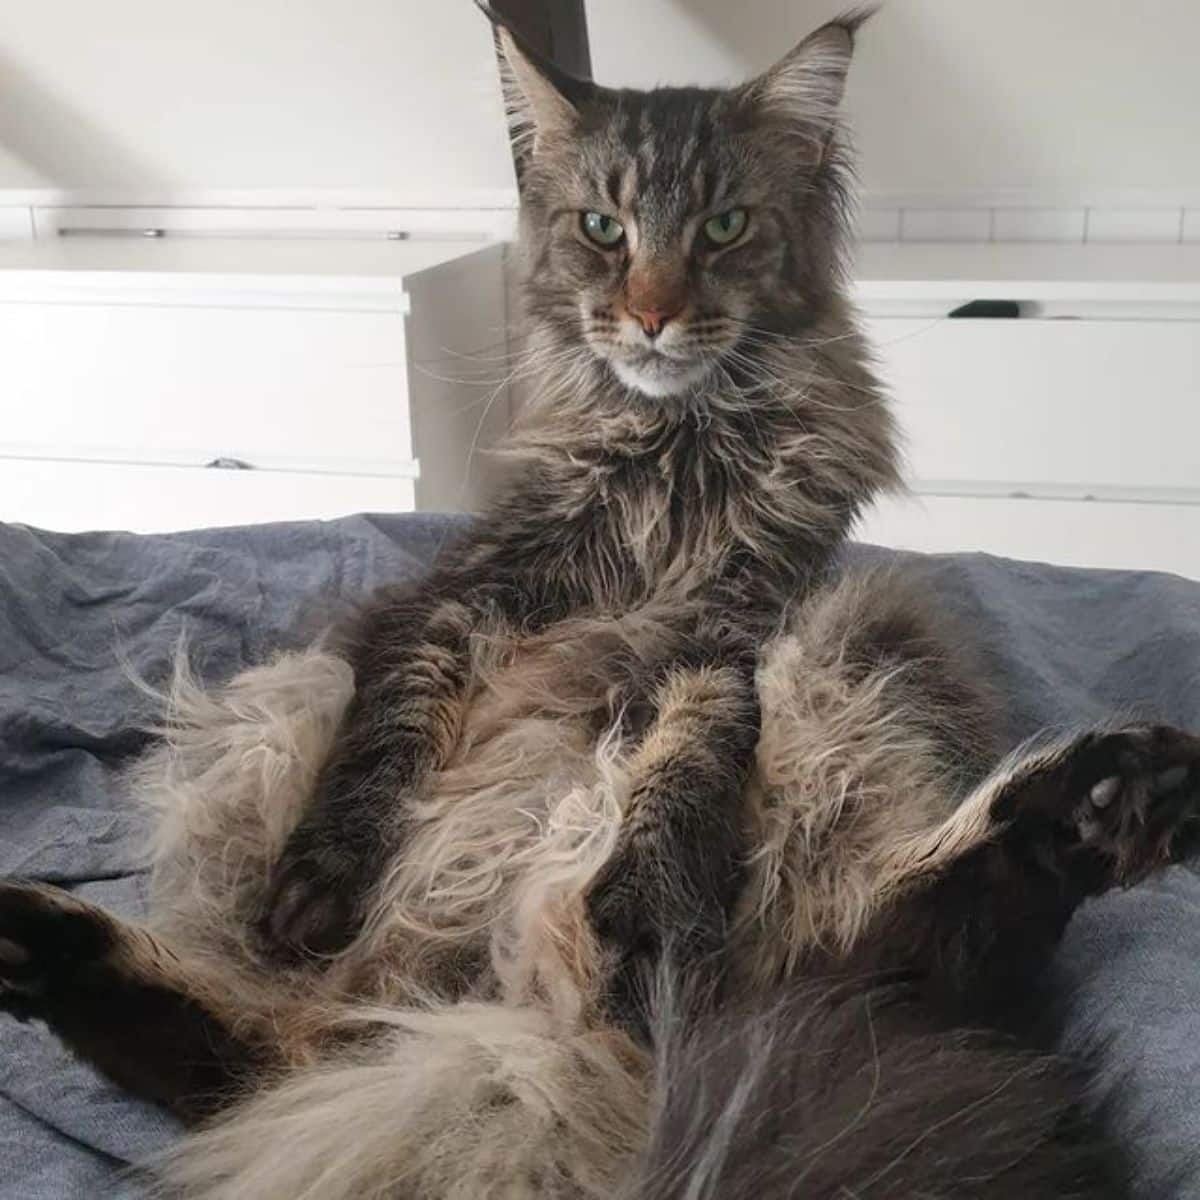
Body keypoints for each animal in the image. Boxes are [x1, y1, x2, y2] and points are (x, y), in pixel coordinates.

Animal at [2, 9, 1200, 1200]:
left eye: (723, 226)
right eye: (602, 228)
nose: (655, 314)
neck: (672, 461)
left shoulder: (737, 628)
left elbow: (683, 758)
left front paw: (645, 901)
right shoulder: (453, 599)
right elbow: (380, 746)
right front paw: (319, 885)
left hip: (866, 637)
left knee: (895, 958)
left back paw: (1104, 805)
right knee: (252, 1066)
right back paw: (40, 947)